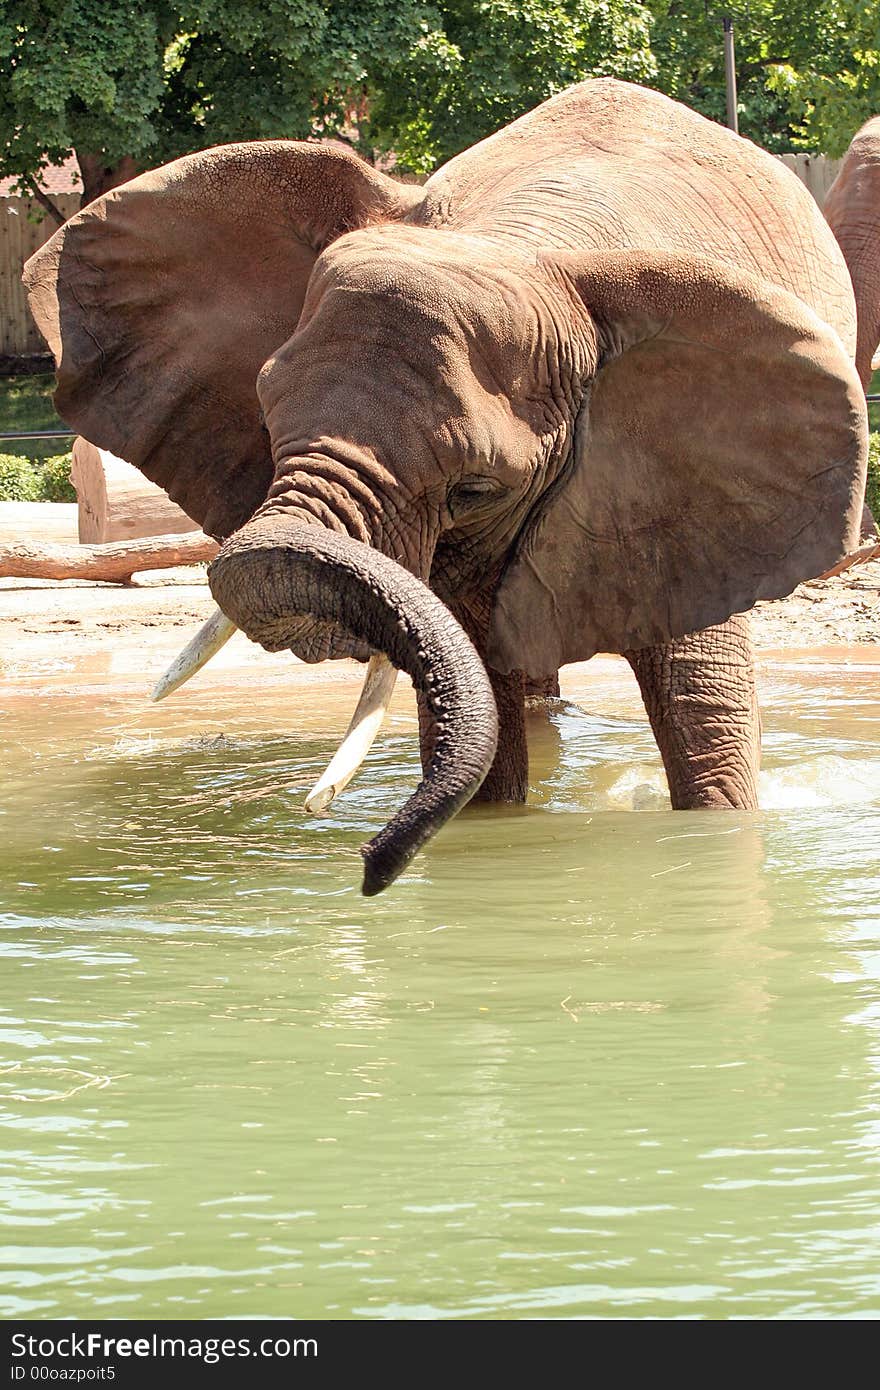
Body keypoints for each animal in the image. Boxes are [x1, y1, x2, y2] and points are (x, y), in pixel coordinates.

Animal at [25, 81, 867, 895]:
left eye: (474, 489)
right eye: (263, 414)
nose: (368, 864)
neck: (522, 240)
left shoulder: (684, 486)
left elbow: (703, 714)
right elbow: (478, 699)